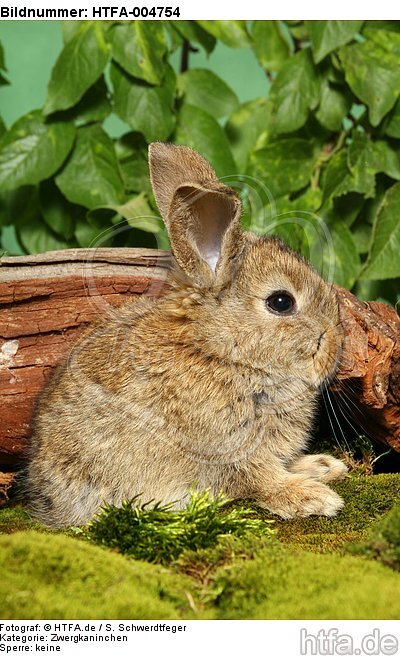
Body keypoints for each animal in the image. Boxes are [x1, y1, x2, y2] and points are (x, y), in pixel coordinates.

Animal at [27, 144, 346, 528]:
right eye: (281, 302)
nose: (335, 346)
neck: (223, 350)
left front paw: (324, 467)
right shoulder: (229, 449)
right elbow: (261, 480)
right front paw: (314, 498)